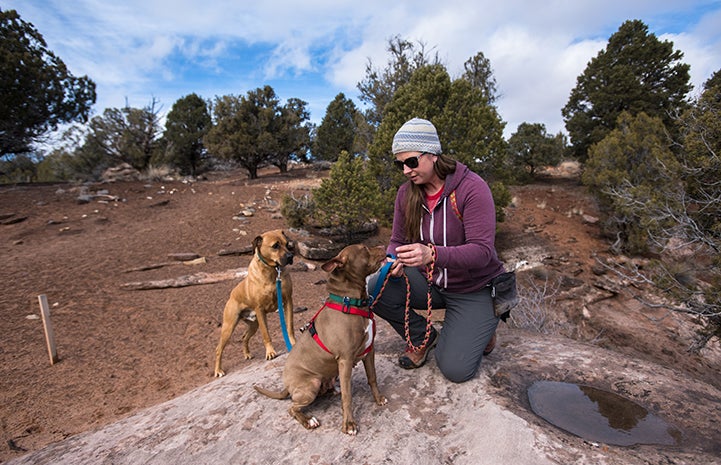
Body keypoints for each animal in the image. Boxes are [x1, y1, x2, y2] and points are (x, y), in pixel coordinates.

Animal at [212, 229, 294, 376]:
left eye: (287, 244)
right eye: (275, 246)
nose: (291, 256)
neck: (271, 271)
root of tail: (231, 295)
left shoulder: (288, 301)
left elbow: (289, 327)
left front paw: (293, 343)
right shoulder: (260, 309)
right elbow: (266, 334)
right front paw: (270, 352)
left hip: (253, 324)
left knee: (244, 337)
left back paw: (247, 354)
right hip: (229, 327)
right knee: (218, 349)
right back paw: (218, 370)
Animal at [253, 243, 388, 436]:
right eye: (364, 248)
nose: (383, 246)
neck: (350, 301)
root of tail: (287, 386)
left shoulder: (369, 351)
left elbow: (372, 378)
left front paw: (378, 399)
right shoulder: (345, 359)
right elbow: (348, 396)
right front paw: (349, 424)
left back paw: (333, 389)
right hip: (311, 383)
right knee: (292, 408)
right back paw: (309, 420)